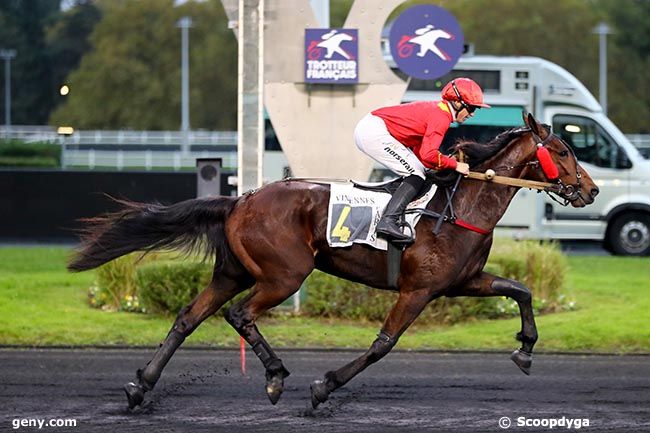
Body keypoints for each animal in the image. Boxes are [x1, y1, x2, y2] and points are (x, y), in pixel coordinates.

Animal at [67, 112, 596, 408]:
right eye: (563, 149)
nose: (589, 190)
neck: (459, 207)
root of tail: (241, 199)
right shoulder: (418, 290)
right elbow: (383, 345)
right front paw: (323, 388)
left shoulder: (462, 282)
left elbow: (521, 290)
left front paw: (525, 349)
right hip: (283, 275)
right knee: (239, 315)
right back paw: (275, 376)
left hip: (233, 273)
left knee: (187, 318)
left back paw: (141, 388)